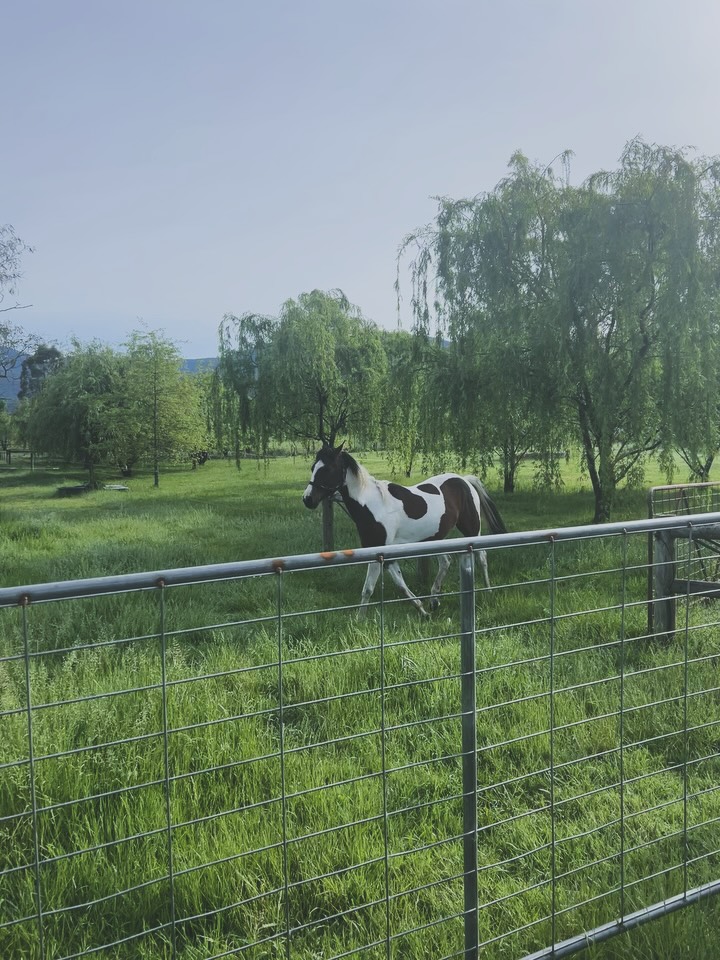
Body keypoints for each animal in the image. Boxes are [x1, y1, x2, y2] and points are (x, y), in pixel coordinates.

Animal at [302, 445, 507, 616]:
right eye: (312, 467)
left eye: (327, 469)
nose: (307, 499)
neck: (373, 505)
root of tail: (464, 480)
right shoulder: (385, 555)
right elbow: (399, 585)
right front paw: (422, 610)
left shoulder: (380, 551)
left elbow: (368, 588)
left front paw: (359, 619)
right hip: (435, 538)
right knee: (446, 562)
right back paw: (434, 600)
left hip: (472, 529)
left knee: (482, 557)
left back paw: (488, 591)